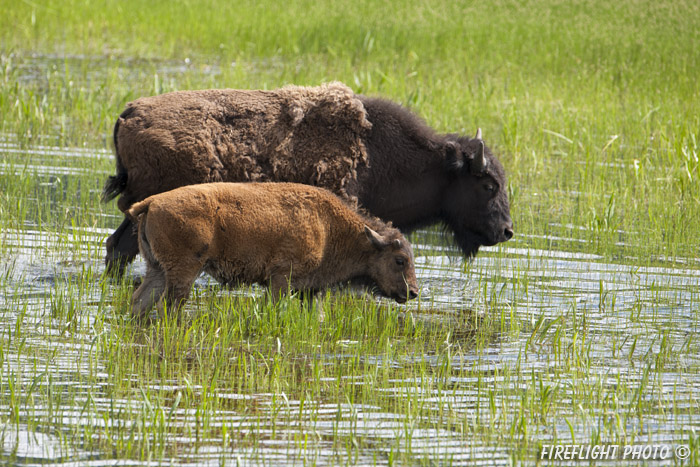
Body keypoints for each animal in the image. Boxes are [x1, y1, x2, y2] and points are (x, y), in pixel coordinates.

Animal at [129, 181, 418, 320]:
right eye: (400, 260)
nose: (413, 292)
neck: (328, 226)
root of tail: (153, 201)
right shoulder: (281, 279)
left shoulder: (310, 289)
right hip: (184, 271)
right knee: (169, 305)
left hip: (157, 269)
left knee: (140, 301)